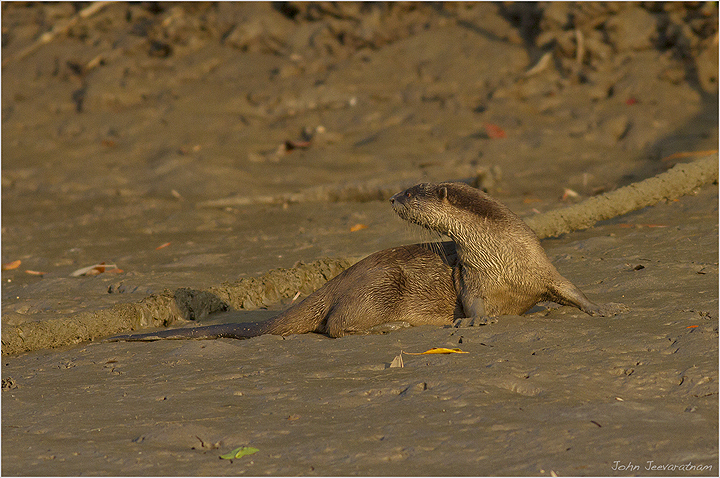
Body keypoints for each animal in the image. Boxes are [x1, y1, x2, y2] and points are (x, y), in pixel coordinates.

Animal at [109, 182, 615, 342]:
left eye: (412, 193)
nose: (392, 196)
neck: (501, 254)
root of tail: (338, 279)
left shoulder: (539, 265)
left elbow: (569, 287)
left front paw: (604, 309)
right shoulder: (473, 279)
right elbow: (474, 303)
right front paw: (473, 323)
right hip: (381, 284)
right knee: (336, 324)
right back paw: (393, 326)